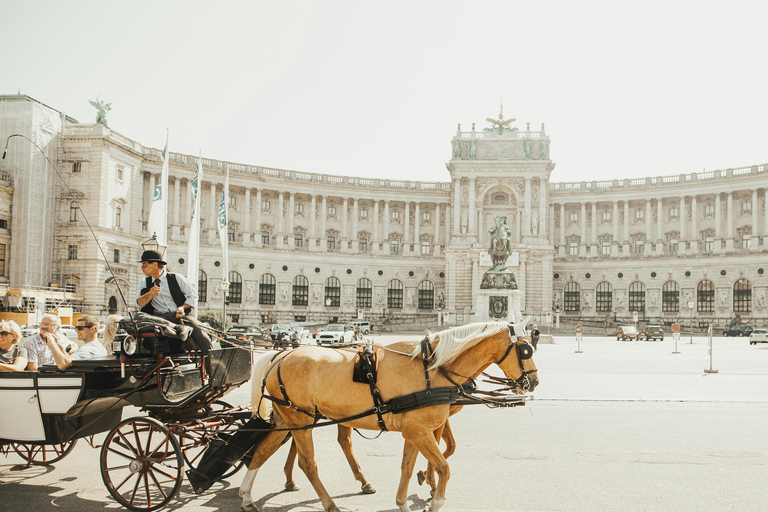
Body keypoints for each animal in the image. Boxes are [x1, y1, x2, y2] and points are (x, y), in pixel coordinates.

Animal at [238, 320, 536, 512]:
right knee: (308, 464)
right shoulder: (421, 430)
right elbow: (444, 466)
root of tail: (280, 354)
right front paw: (435, 499)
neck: (432, 370)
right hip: (300, 420)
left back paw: (247, 496)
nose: (534, 382)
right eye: (526, 350)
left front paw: (404, 500)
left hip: (290, 419)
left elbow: (408, 466)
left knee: (262, 451)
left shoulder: (415, 430)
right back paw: (330, 504)